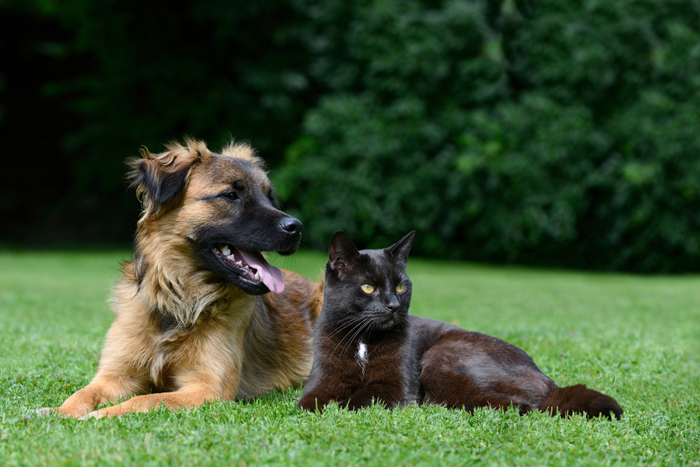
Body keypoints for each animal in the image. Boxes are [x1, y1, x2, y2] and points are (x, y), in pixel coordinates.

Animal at [38, 137, 322, 418]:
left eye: (270, 197)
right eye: (231, 195)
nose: (296, 227)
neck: (179, 298)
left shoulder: (207, 389)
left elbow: (144, 401)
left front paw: (102, 415)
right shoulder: (115, 375)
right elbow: (82, 394)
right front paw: (58, 412)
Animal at [296, 230, 624, 420]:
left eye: (401, 286)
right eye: (368, 288)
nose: (393, 305)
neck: (363, 340)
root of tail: (547, 379)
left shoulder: (397, 387)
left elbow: (357, 398)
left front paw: (340, 405)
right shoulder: (321, 380)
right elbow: (309, 402)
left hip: (443, 356)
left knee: (523, 405)